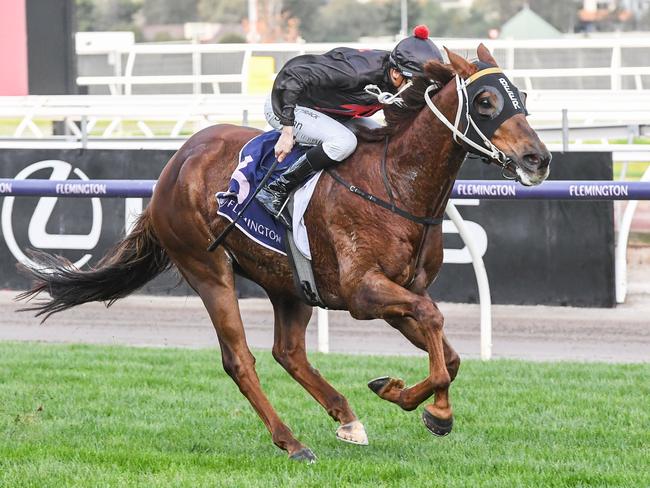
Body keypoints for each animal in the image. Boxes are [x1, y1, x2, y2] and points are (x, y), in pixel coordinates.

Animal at [19, 45, 548, 462]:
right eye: (485, 101)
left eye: (521, 97)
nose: (537, 159)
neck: (396, 182)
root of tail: (173, 165)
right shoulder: (364, 294)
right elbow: (435, 322)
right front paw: (437, 412)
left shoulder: (401, 292)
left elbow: (449, 353)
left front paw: (399, 393)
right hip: (207, 268)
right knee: (240, 360)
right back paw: (291, 442)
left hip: (288, 282)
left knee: (288, 352)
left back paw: (346, 418)